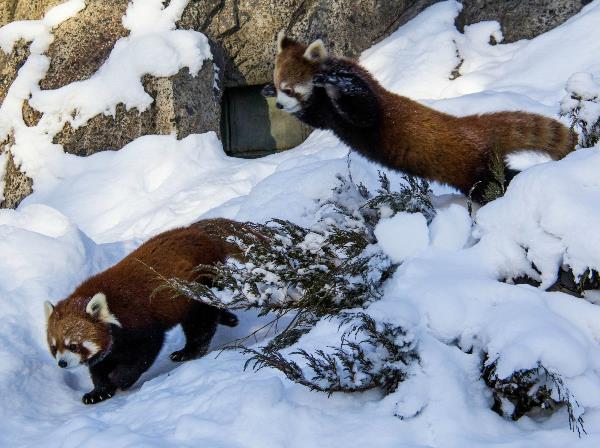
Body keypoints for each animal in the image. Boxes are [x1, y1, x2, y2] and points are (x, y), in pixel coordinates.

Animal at [44, 219, 246, 404]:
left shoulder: (139, 323)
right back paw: (228, 319)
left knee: (200, 321)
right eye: (54, 347)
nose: (62, 363)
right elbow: (99, 367)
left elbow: (144, 353)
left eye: (73, 345)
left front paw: (120, 378)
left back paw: (190, 351)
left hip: (197, 287)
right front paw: (99, 392)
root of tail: (196, 230)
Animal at [264, 34, 580, 201]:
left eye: (289, 89)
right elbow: (315, 118)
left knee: (493, 183)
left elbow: (364, 111)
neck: (326, 102)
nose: (278, 103)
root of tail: (471, 126)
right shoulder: (324, 115)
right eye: (279, 86)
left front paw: (333, 80)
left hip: (472, 167)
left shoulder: (368, 99)